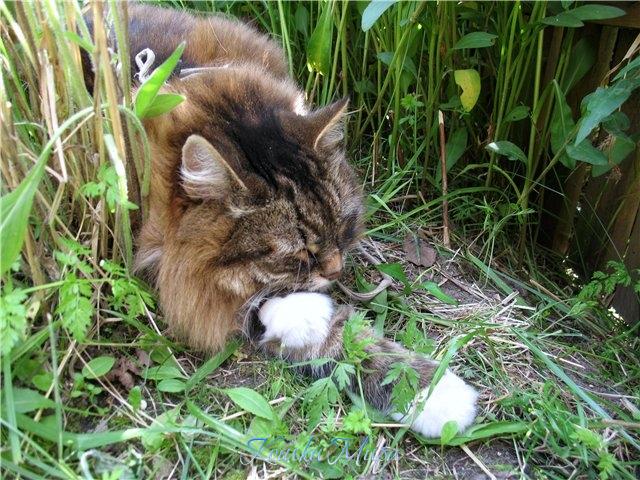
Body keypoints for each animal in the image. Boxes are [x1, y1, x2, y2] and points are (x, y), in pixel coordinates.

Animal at [86, 4, 476, 438]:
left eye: (345, 227)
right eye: (299, 253)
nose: (337, 272)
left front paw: (429, 391)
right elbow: (325, 333)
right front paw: (435, 396)